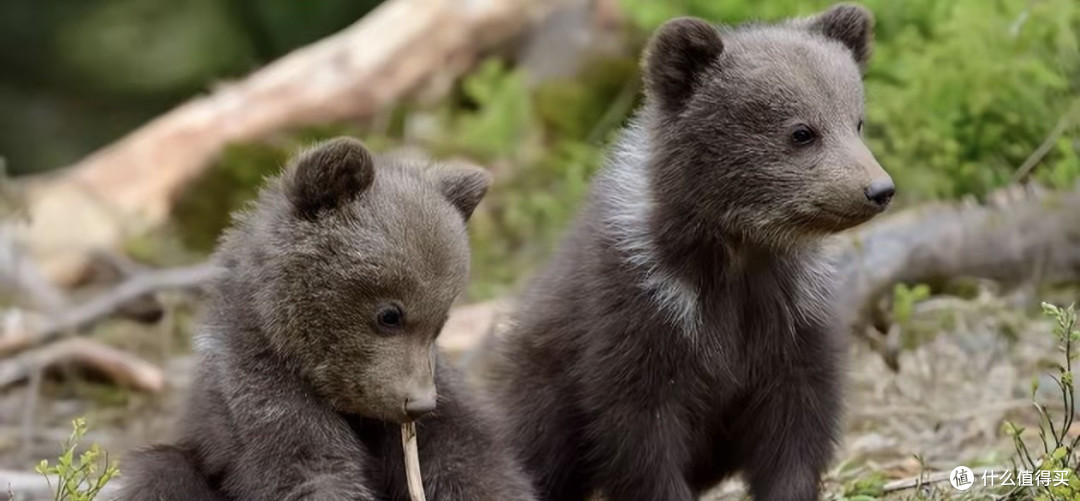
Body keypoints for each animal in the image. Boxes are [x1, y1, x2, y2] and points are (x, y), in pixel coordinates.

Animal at [118, 138, 537, 501]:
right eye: (390, 314)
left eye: (441, 321)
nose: (418, 403)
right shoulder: (262, 399)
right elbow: (312, 471)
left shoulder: (438, 407)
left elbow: (468, 462)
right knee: (162, 472)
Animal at [484, 5, 892, 501]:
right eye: (801, 132)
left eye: (856, 121)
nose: (878, 189)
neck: (737, 254)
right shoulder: (641, 313)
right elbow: (641, 433)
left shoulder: (792, 317)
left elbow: (796, 424)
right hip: (538, 387)